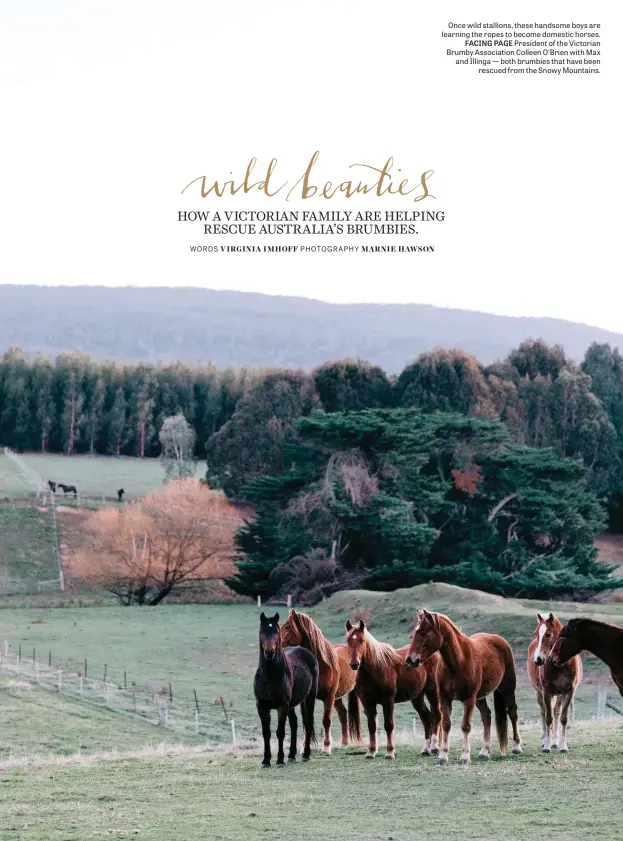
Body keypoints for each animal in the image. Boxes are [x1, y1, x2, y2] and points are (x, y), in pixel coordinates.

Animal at [254, 612, 320, 768]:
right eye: (261, 631)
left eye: (276, 632)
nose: (269, 652)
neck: (270, 677)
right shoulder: (262, 706)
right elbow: (266, 733)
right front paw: (266, 761)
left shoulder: (282, 706)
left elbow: (280, 732)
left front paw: (279, 761)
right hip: (292, 705)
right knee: (294, 724)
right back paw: (291, 756)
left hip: (309, 698)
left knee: (308, 722)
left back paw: (305, 755)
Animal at [282, 608, 358, 752]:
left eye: (288, 626)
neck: (321, 664)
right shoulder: (307, 699)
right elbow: (306, 721)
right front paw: (304, 748)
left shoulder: (329, 697)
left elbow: (326, 720)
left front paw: (327, 747)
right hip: (337, 697)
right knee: (343, 714)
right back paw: (344, 743)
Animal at [344, 616, 442, 760]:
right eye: (348, 641)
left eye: (362, 640)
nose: (354, 664)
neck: (377, 668)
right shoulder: (367, 702)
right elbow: (372, 726)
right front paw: (371, 752)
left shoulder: (388, 701)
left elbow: (389, 725)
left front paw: (390, 752)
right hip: (417, 697)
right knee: (426, 717)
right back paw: (426, 749)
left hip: (432, 691)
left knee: (436, 714)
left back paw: (435, 747)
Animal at [404, 608, 520, 764]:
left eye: (423, 633)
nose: (410, 660)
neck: (458, 662)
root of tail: (499, 639)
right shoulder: (444, 698)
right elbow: (446, 724)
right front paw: (443, 756)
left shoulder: (469, 699)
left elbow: (465, 726)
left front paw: (464, 756)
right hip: (480, 698)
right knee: (487, 716)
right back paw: (485, 751)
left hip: (507, 688)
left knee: (512, 712)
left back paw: (517, 746)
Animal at [528, 608, 584, 752]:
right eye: (536, 633)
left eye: (548, 634)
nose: (538, 660)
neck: (560, 664)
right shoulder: (546, 691)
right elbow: (548, 718)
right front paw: (546, 746)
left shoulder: (569, 691)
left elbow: (563, 718)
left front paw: (563, 745)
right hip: (539, 693)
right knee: (543, 713)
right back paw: (545, 741)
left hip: (559, 695)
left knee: (556, 713)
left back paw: (555, 741)